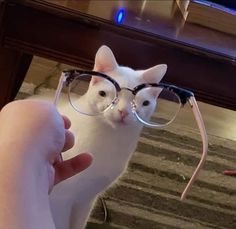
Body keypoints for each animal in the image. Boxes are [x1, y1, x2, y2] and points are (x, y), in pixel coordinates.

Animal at [48, 46, 167, 229]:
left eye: (144, 103)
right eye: (103, 93)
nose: (123, 111)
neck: (109, 140)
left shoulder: (86, 199)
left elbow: (78, 223)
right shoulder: (63, 199)